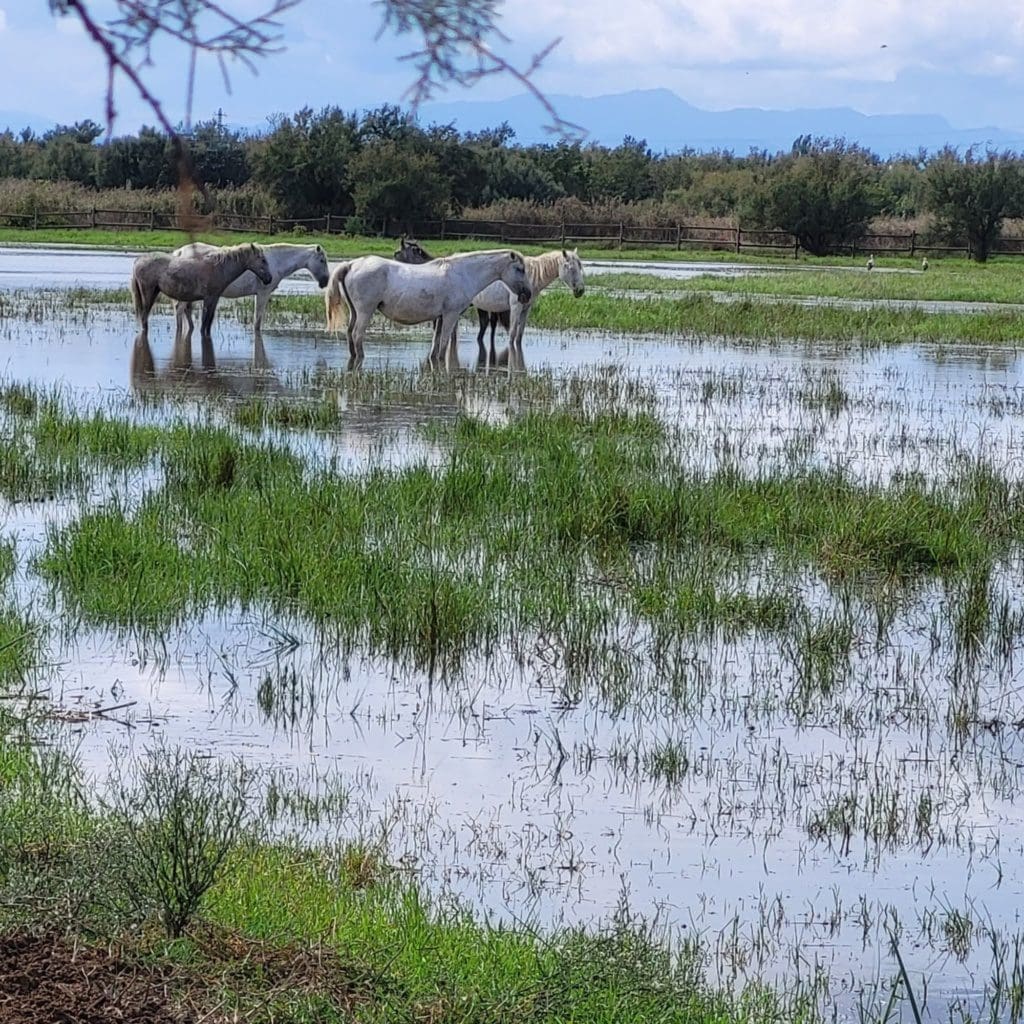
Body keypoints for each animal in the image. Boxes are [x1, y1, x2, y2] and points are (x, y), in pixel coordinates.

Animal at [172, 241, 329, 337]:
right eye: (322, 260)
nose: (325, 281)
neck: (276, 261)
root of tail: (180, 252)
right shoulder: (263, 294)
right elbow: (257, 322)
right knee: (180, 310)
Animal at [323, 247, 532, 364]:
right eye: (520, 269)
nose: (527, 294)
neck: (463, 274)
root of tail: (352, 264)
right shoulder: (450, 316)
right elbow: (444, 345)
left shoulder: (439, 318)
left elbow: (435, 344)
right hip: (365, 312)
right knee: (357, 336)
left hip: (355, 312)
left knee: (350, 334)